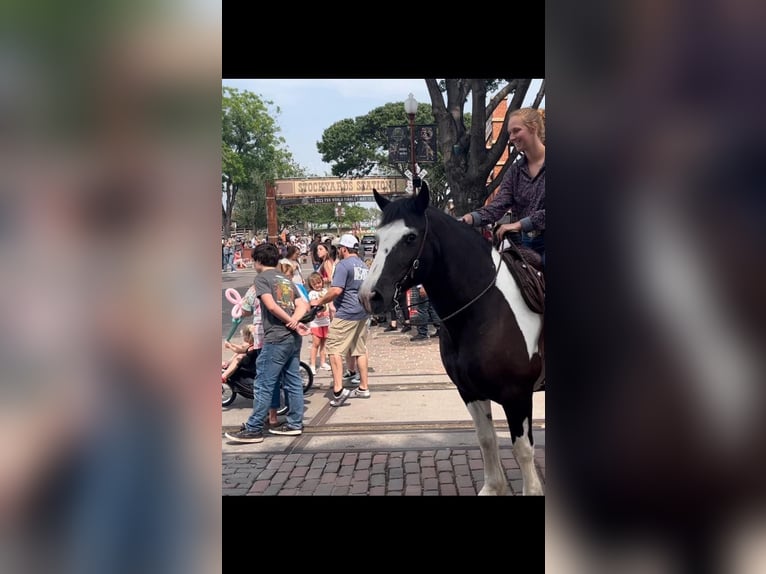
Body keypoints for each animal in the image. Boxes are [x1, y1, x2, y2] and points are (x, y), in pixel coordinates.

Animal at [360, 183, 544, 496]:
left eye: (410, 237)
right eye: (378, 237)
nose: (370, 296)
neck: (485, 309)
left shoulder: (517, 395)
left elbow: (523, 450)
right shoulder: (469, 391)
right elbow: (486, 439)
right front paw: (494, 487)